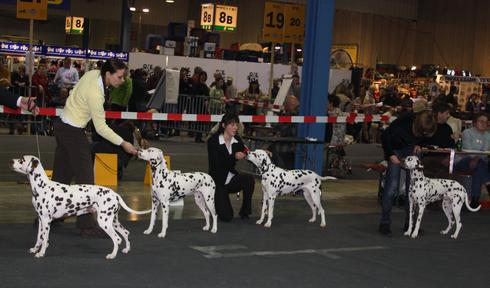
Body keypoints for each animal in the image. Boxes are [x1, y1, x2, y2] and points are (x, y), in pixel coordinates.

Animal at [9, 156, 151, 260]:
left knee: (117, 239)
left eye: (22, 159)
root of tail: (115, 194)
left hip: (104, 222)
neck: (42, 186)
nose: (10, 161)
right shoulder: (40, 219)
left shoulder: (46, 220)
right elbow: (39, 237)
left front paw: (41, 253)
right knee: (126, 233)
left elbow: (44, 239)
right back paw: (126, 250)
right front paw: (35, 249)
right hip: (113, 221)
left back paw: (112, 255)